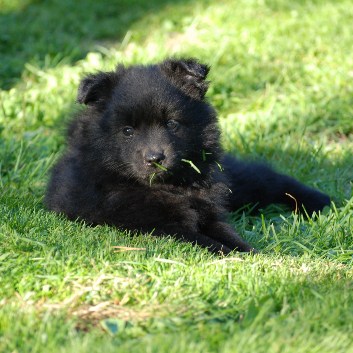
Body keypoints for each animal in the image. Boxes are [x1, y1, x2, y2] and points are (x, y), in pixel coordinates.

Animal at [44, 59, 330, 253]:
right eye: (127, 131)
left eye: (171, 124)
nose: (155, 158)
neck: (171, 187)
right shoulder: (156, 225)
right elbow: (205, 241)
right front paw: (239, 257)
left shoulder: (209, 211)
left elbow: (229, 234)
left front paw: (252, 253)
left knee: (271, 180)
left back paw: (322, 202)